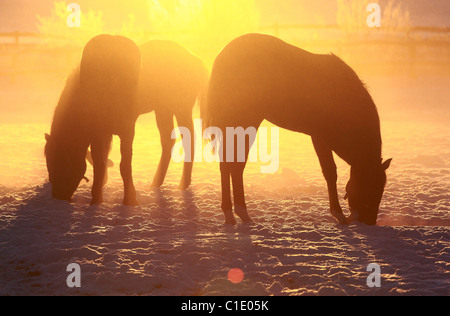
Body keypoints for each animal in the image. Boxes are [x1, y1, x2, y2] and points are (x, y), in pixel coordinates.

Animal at [44, 34, 142, 206]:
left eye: (60, 159)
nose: (58, 196)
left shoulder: (127, 130)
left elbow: (124, 165)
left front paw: (130, 200)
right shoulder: (100, 134)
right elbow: (99, 164)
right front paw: (97, 199)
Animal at [137, 41, 209, 191]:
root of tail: (195, 60)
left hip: (180, 108)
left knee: (187, 138)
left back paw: (182, 185)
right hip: (163, 109)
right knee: (168, 139)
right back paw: (156, 183)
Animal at [203, 34, 390, 225]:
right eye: (370, 187)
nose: (369, 222)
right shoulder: (319, 137)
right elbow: (330, 172)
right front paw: (338, 214)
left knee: (232, 164)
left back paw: (237, 213)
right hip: (245, 120)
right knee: (233, 164)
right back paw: (236, 213)